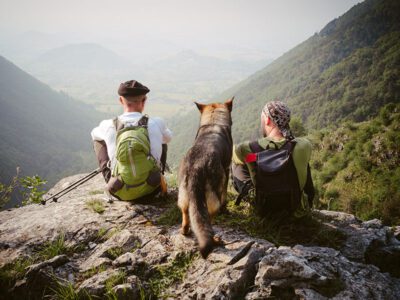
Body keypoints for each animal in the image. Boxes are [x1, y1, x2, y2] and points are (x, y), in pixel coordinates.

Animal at [179, 98, 234, 258]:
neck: (213, 122)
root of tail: (196, 168)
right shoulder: (227, 169)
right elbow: (225, 194)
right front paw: (225, 207)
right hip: (212, 201)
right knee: (208, 223)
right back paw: (215, 240)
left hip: (183, 195)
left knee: (186, 216)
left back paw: (184, 231)